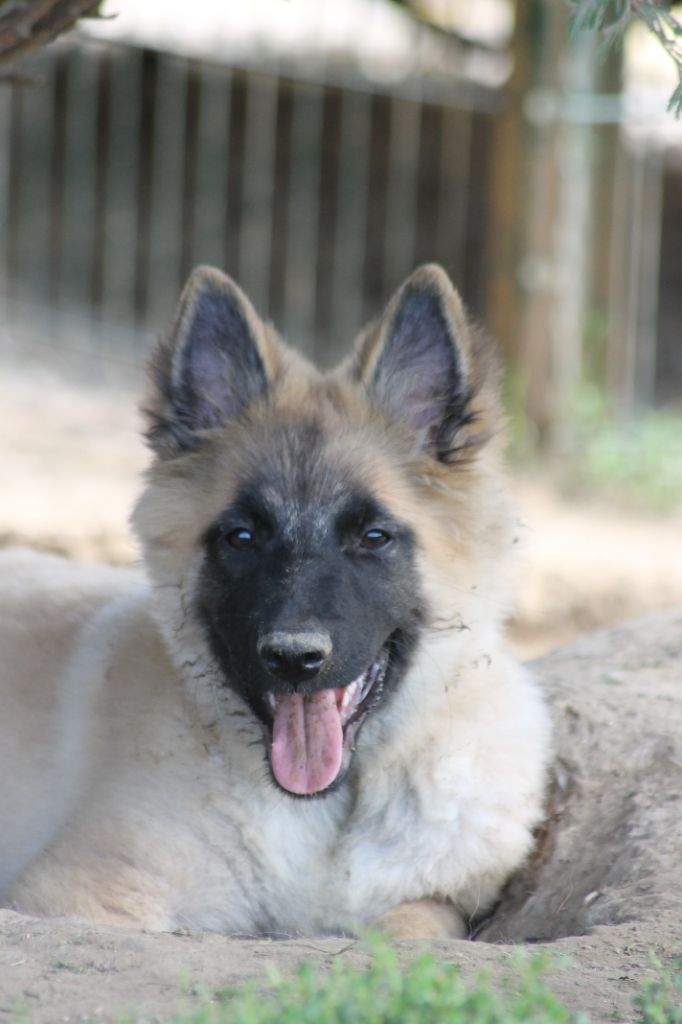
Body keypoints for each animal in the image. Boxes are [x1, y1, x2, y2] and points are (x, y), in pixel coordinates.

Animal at [0, 264, 548, 937]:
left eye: (373, 537)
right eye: (242, 537)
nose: (293, 659)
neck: (329, 810)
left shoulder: (437, 903)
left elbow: (410, 927)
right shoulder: (80, 893)